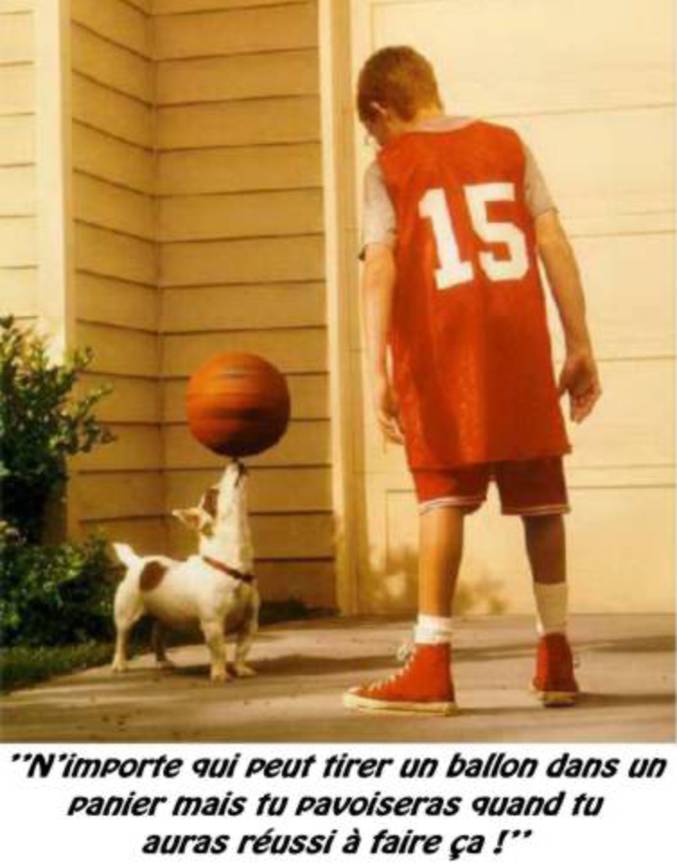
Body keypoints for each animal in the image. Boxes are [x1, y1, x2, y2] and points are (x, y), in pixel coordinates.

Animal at [111, 460, 258, 680]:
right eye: (213, 493)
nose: (235, 460)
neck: (232, 567)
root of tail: (138, 562)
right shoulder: (213, 623)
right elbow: (219, 651)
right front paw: (219, 673)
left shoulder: (250, 623)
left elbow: (242, 649)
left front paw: (240, 669)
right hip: (126, 615)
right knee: (122, 638)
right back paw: (119, 664)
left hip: (164, 617)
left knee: (157, 636)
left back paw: (163, 662)